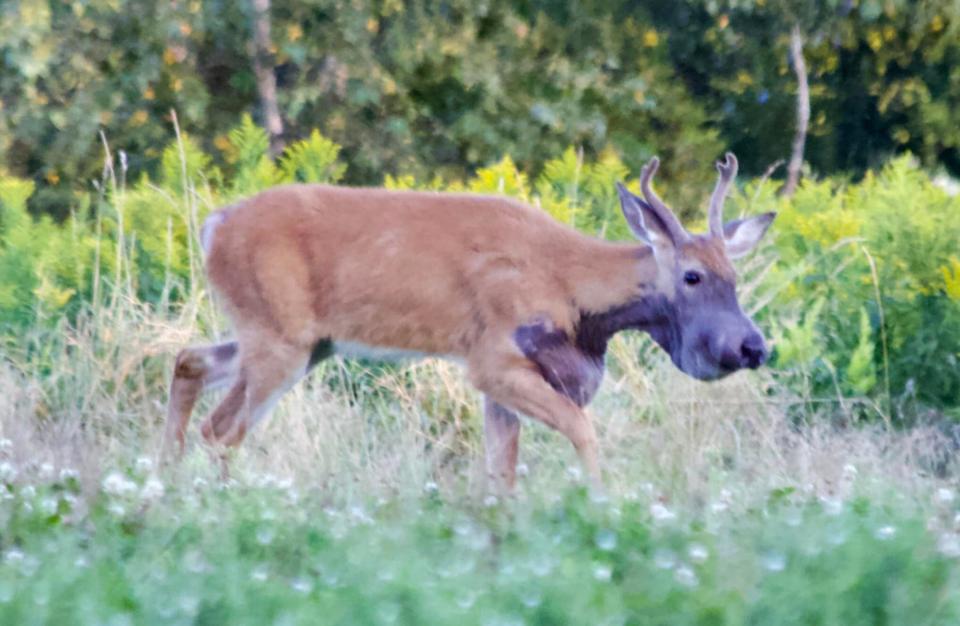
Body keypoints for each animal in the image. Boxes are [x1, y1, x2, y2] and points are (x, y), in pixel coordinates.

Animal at [165, 151, 776, 488]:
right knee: (222, 430)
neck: (573, 291)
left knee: (189, 362)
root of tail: (214, 227)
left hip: (301, 341)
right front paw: (603, 507)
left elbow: (500, 474)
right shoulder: (494, 359)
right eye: (693, 276)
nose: (752, 347)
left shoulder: (503, 384)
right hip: (281, 339)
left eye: (734, 275)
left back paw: (162, 485)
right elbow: (582, 430)